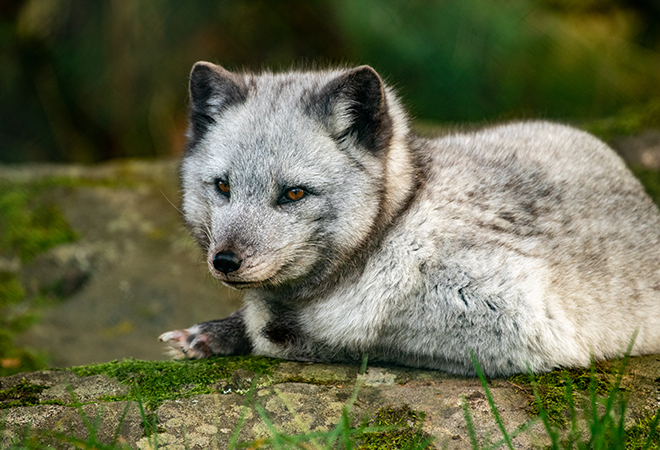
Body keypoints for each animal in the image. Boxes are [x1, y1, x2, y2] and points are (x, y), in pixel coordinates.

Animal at [159, 62, 660, 377]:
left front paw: (262, 330)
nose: (224, 262)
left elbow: (342, 336)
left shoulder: (522, 316)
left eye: (294, 193)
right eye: (223, 186)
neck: (397, 222)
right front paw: (216, 331)